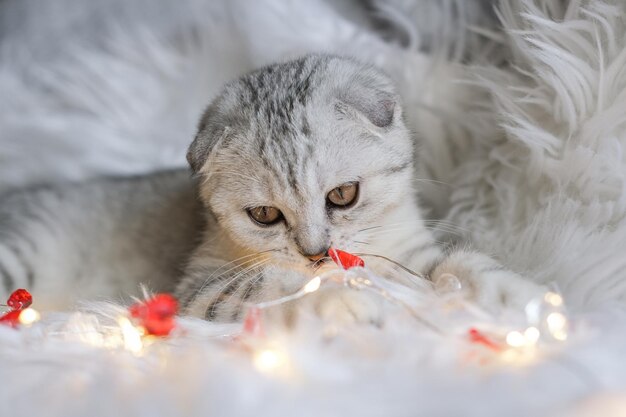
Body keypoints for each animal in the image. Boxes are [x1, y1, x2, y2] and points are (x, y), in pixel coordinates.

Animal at [0, 54, 540, 322]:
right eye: (264, 216)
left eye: (342, 196)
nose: (316, 253)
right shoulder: (199, 288)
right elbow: (275, 286)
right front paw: (341, 298)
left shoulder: (410, 252)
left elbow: (462, 264)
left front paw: (516, 295)